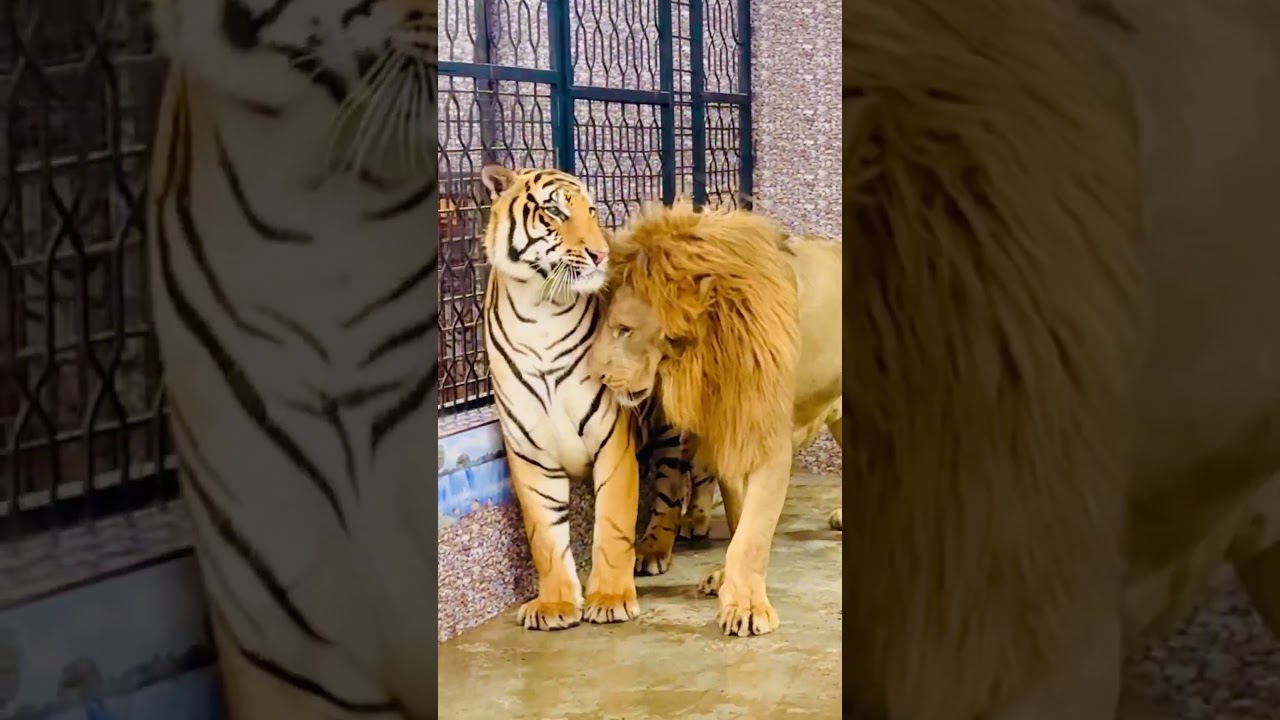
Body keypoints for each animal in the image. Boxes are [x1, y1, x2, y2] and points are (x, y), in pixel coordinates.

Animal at [586, 202, 842, 636]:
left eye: (624, 330)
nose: (597, 376)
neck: (708, 353)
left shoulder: (765, 436)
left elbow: (753, 532)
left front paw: (747, 607)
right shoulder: (729, 431)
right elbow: (740, 517)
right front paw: (728, 582)